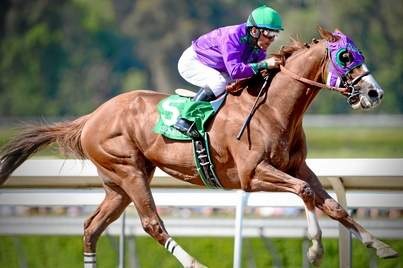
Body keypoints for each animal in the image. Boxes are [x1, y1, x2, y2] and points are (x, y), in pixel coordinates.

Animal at [0, 28, 398, 266]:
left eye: (359, 53)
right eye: (345, 57)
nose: (375, 93)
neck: (273, 108)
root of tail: (92, 117)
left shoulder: (297, 166)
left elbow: (332, 204)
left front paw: (379, 245)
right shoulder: (252, 175)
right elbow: (304, 193)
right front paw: (315, 247)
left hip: (117, 185)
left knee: (90, 227)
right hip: (129, 173)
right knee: (152, 224)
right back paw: (193, 261)